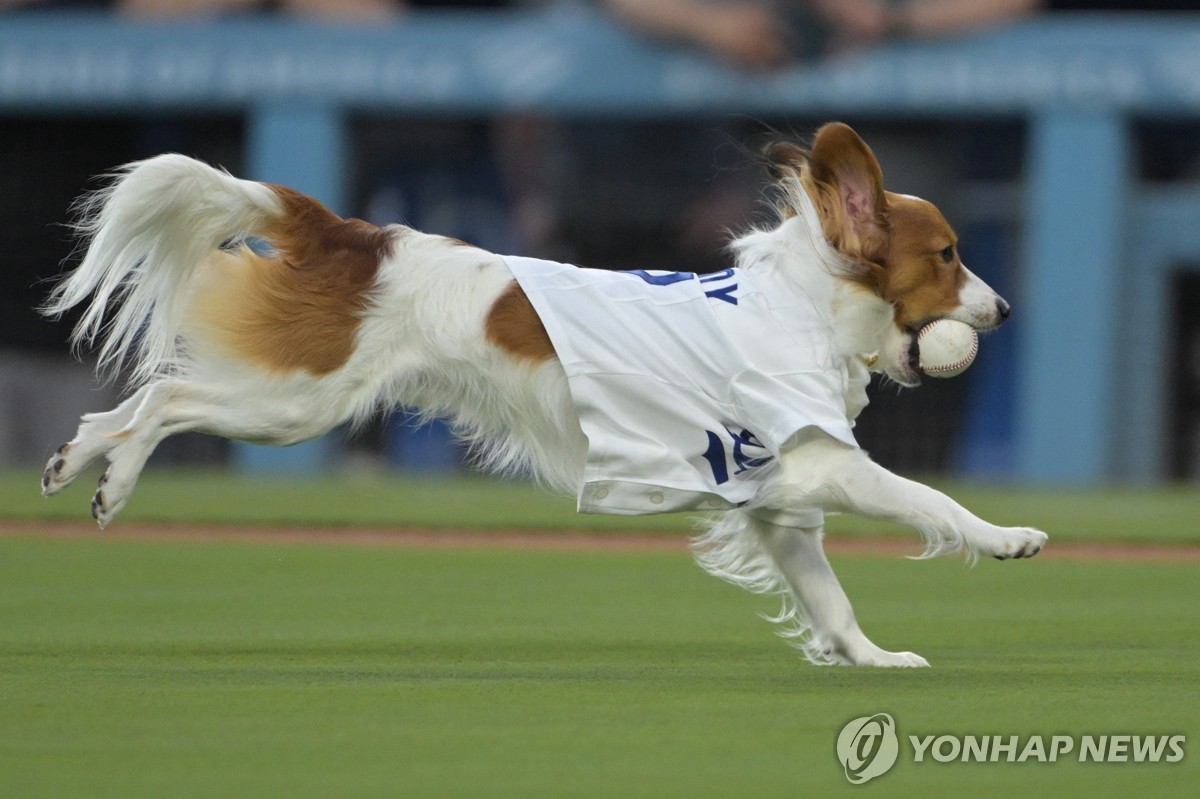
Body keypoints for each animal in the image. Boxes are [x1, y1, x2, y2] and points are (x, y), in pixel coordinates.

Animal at [42, 121, 1046, 662]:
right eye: (949, 255)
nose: (1003, 306)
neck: (801, 302)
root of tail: (357, 236)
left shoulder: (773, 497)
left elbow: (830, 600)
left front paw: (871, 658)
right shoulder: (820, 464)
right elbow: (927, 498)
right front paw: (1007, 536)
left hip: (283, 396)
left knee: (123, 405)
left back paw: (77, 463)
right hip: (294, 405)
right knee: (164, 403)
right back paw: (116, 481)